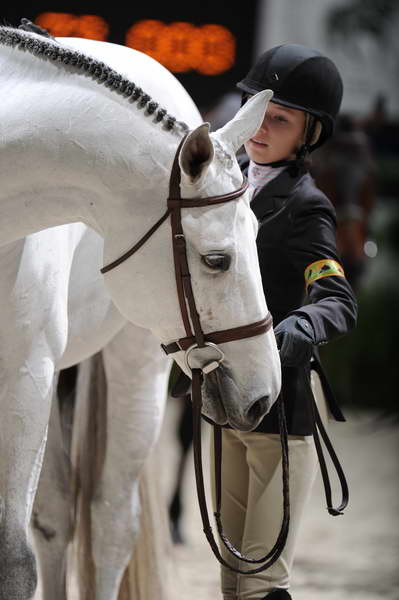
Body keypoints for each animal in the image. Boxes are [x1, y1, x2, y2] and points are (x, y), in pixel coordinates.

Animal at [0, 28, 282, 600]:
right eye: (217, 260)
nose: (266, 393)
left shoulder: (24, 376)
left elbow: (14, 562)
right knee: (57, 517)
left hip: (133, 371)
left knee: (109, 523)